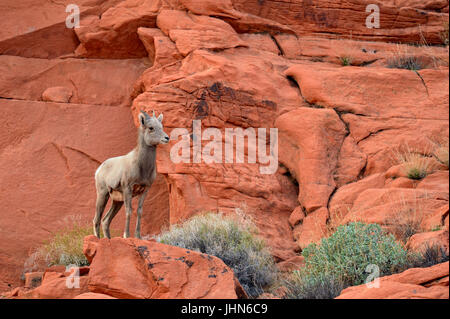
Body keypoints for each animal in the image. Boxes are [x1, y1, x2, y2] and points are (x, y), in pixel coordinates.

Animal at [92, 111, 169, 239]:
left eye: (161, 127)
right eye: (151, 128)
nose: (166, 138)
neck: (142, 167)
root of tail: (99, 169)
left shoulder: (145, 190)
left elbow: (139, 211)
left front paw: (138, 236)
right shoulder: (128, 188)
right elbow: (129, 211)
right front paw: (126, 236)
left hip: (117, 201)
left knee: (106, 220)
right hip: (103, 194)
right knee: (97, 219)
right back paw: (98, 239)